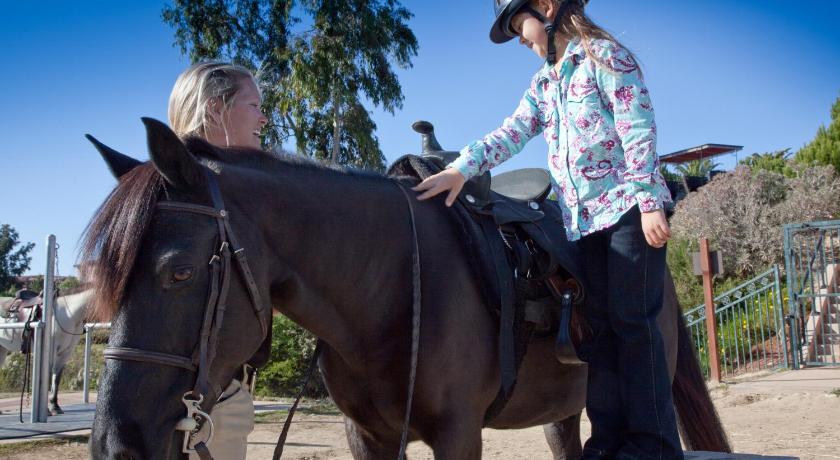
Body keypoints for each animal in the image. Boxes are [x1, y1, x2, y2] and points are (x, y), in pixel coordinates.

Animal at [85, 119, 728, 460]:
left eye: (179, 273)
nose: (115, 443)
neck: (389, 291)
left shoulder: (458, 436)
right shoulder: (366, 437)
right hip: (564, 408)